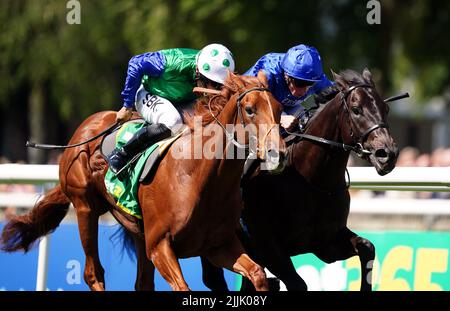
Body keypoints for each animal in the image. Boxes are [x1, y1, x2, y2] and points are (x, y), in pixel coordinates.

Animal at [0, 72, 284, 292]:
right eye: (250, 109)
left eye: (279, 109)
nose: (277, 153)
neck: (200, 177)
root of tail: (85, 128)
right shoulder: (160, 247)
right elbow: (183, 287)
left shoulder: (217, 245)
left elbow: (259, 274)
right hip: (85, 208)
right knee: (93, 273)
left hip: (137, 230)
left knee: (142, 283)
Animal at [202, 69, 400, 292]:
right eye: (356, 109)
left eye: (386, 108)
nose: (387, 154)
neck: (312, 181)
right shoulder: (267, 246)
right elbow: (297, 284)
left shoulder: (327, 242)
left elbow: (367, 247)